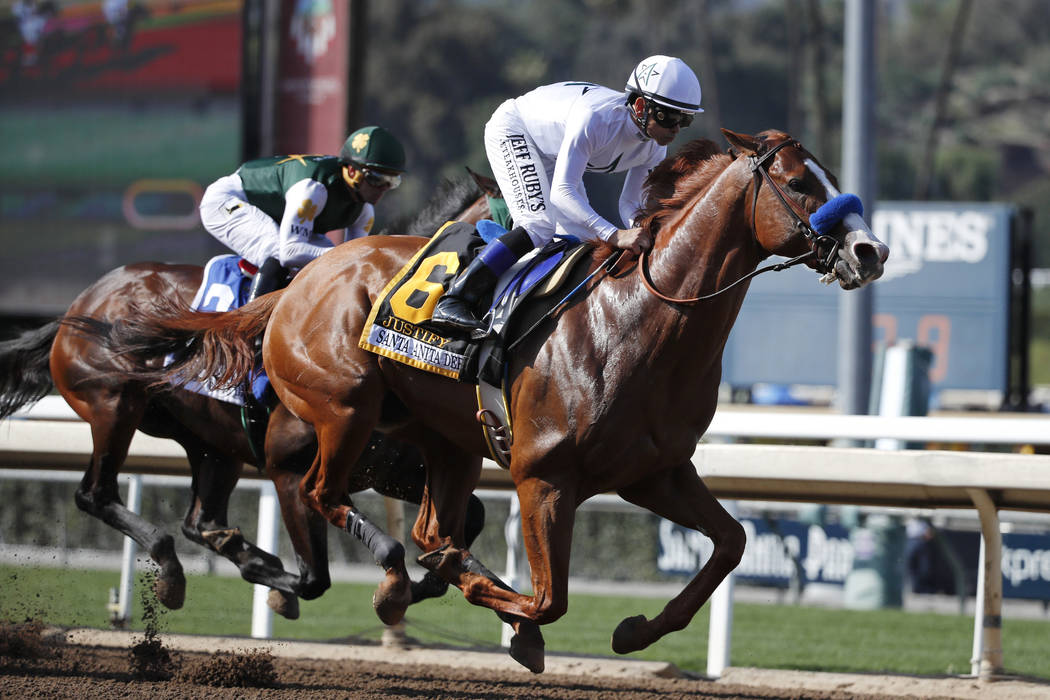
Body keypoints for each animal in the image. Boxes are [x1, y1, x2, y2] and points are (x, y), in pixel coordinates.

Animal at [1, 174, 491, 617]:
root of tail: (79, 305)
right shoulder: (286, 467)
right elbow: (315, 579)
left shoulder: (394, 471)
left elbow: (470, 518)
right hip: (113, 405)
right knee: (96, 495)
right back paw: (170, 566)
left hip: (211, 446)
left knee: (200, 521)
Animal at [77, 128, 890, 671]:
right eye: (803, 183)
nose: (871, 251)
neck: (642, 321)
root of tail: (298, 283)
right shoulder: (545, 477)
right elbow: (550, 598)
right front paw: (517, 626)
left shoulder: (656, 473)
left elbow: (731, 544)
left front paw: (634, 632)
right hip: (339, 411)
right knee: (323, 493)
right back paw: (368, 579)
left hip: (442, 442)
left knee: (426, 524)